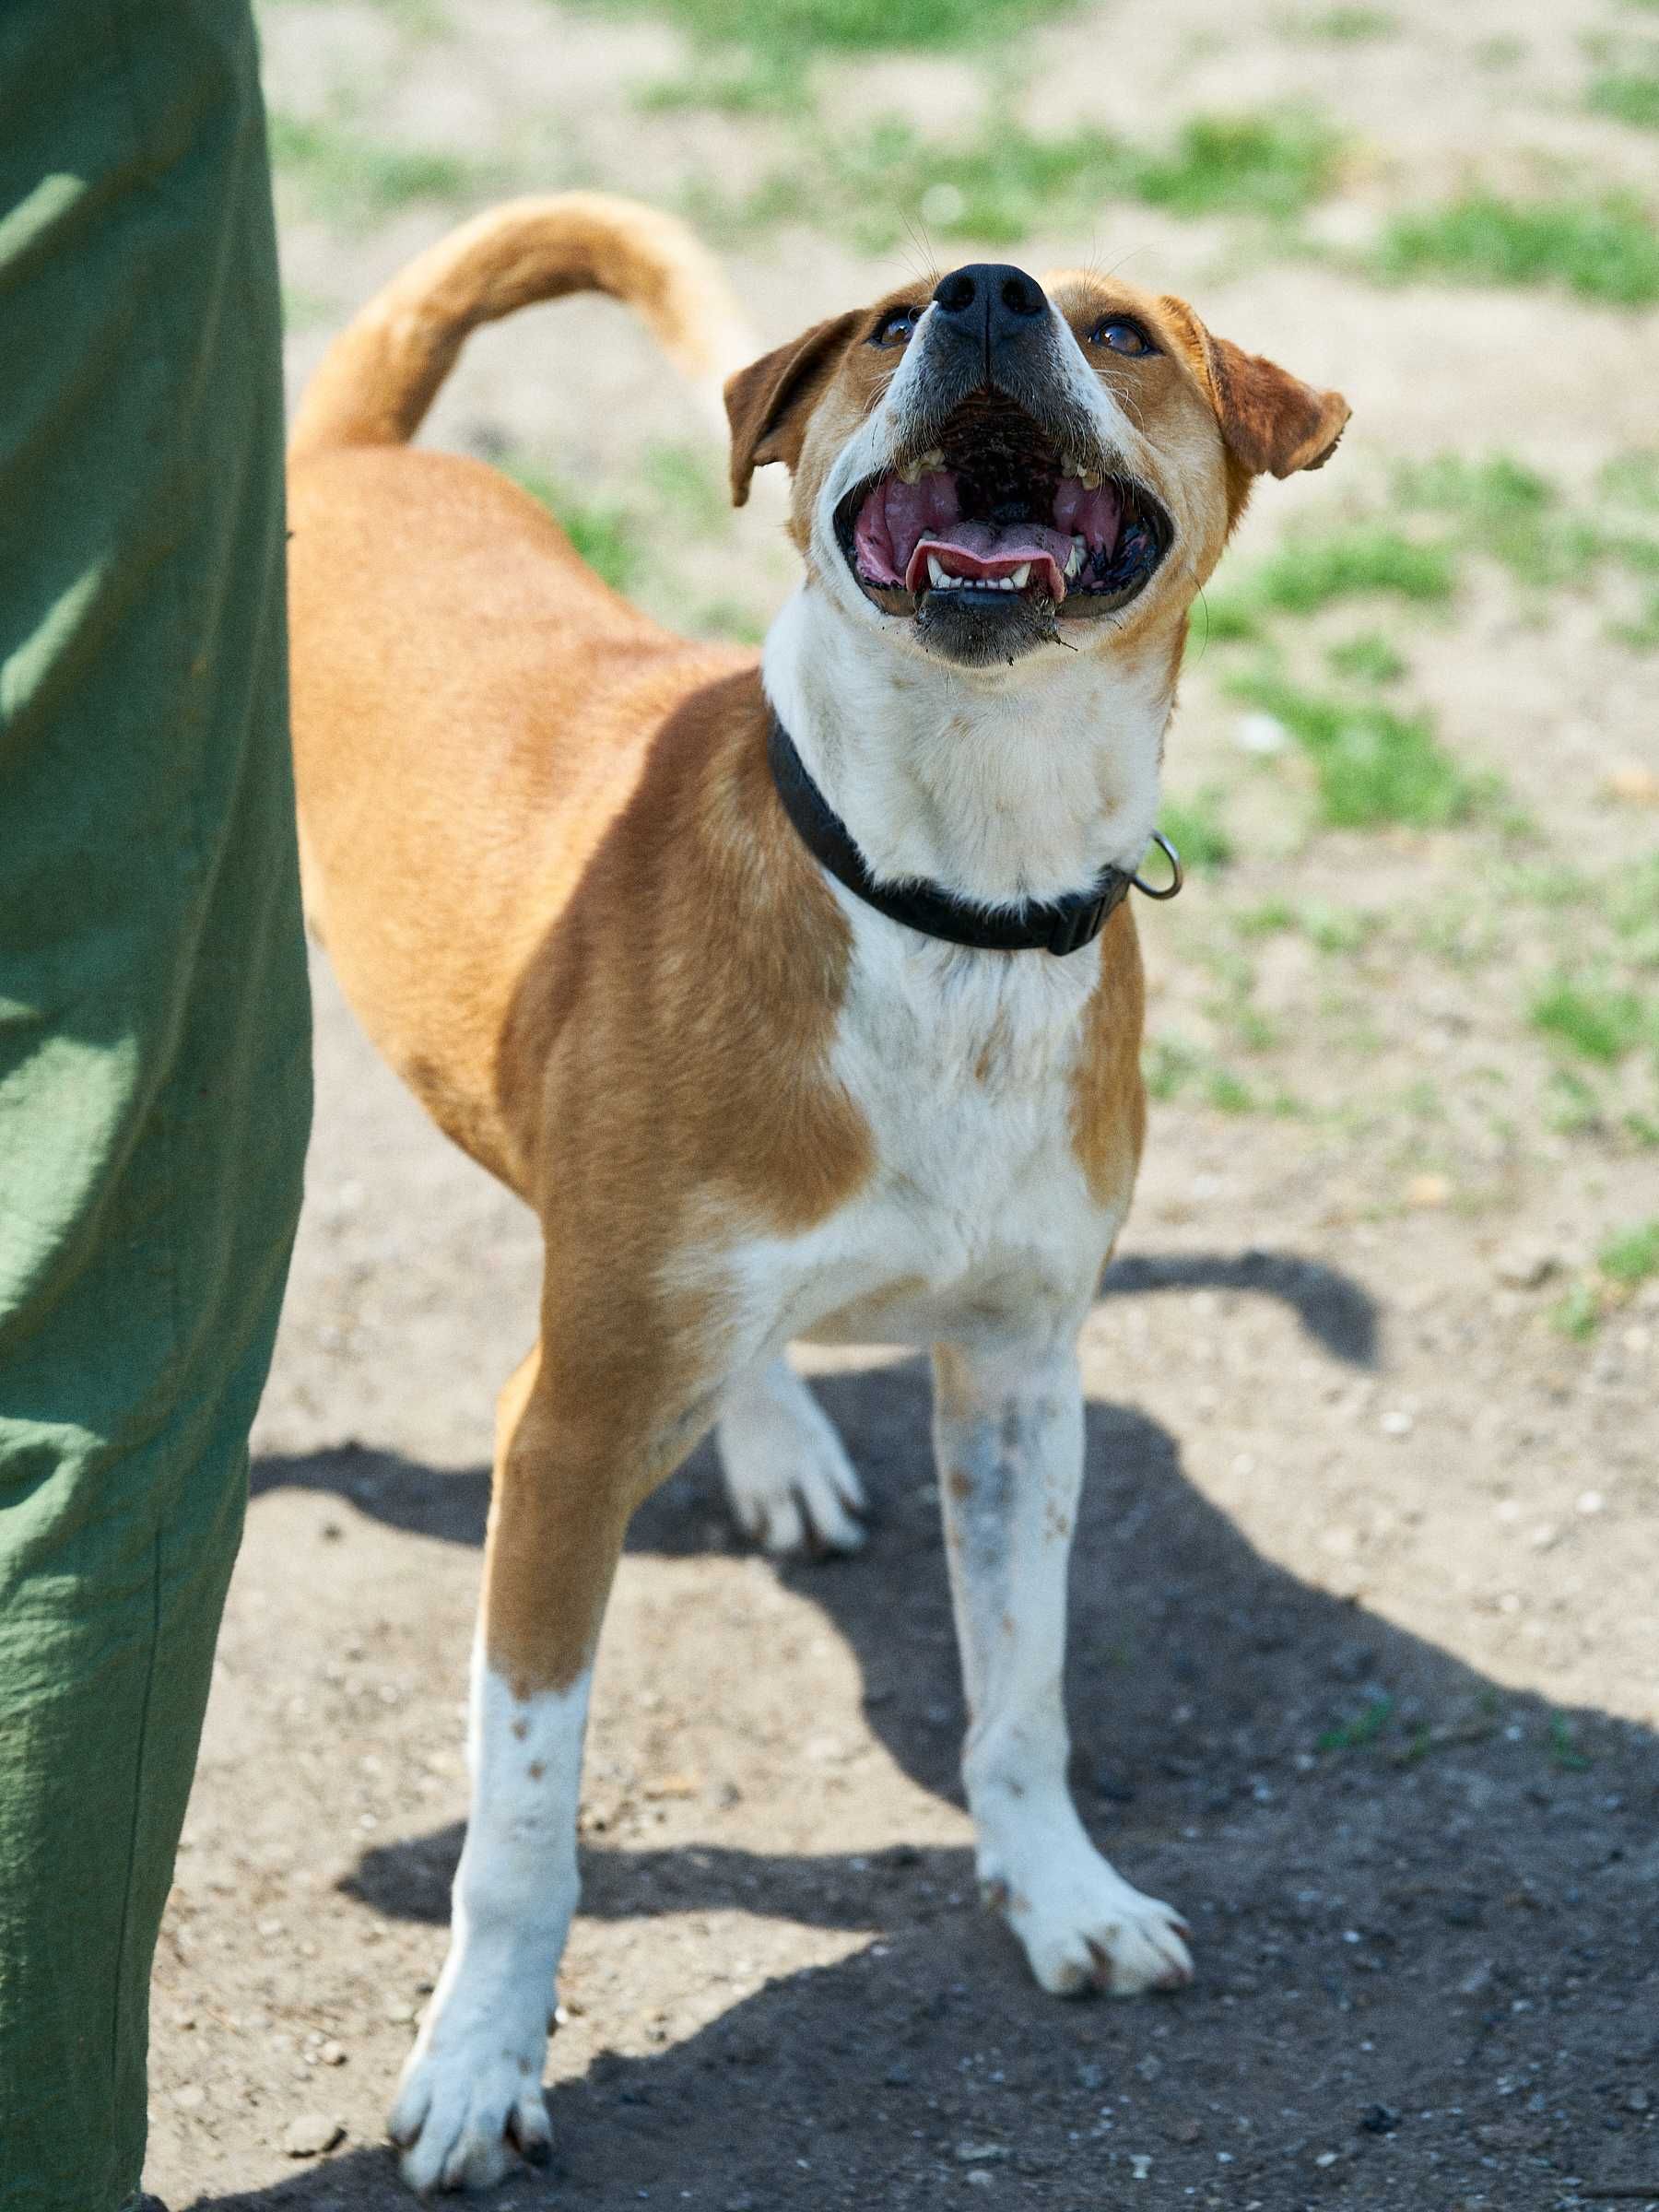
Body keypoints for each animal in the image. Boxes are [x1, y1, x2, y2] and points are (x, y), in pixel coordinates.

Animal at [285, 194, 1353, 2194]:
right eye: (881, 323)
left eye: (1124, 330)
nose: (988, 299)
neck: (945, 898)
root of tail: (357, 450)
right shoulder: (561, 1441)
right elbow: (523, 1821)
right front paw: (477, 2062)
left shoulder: (1019, 1380)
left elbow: (1023, 1694)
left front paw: (1058, 1892)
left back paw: (773, 1440)